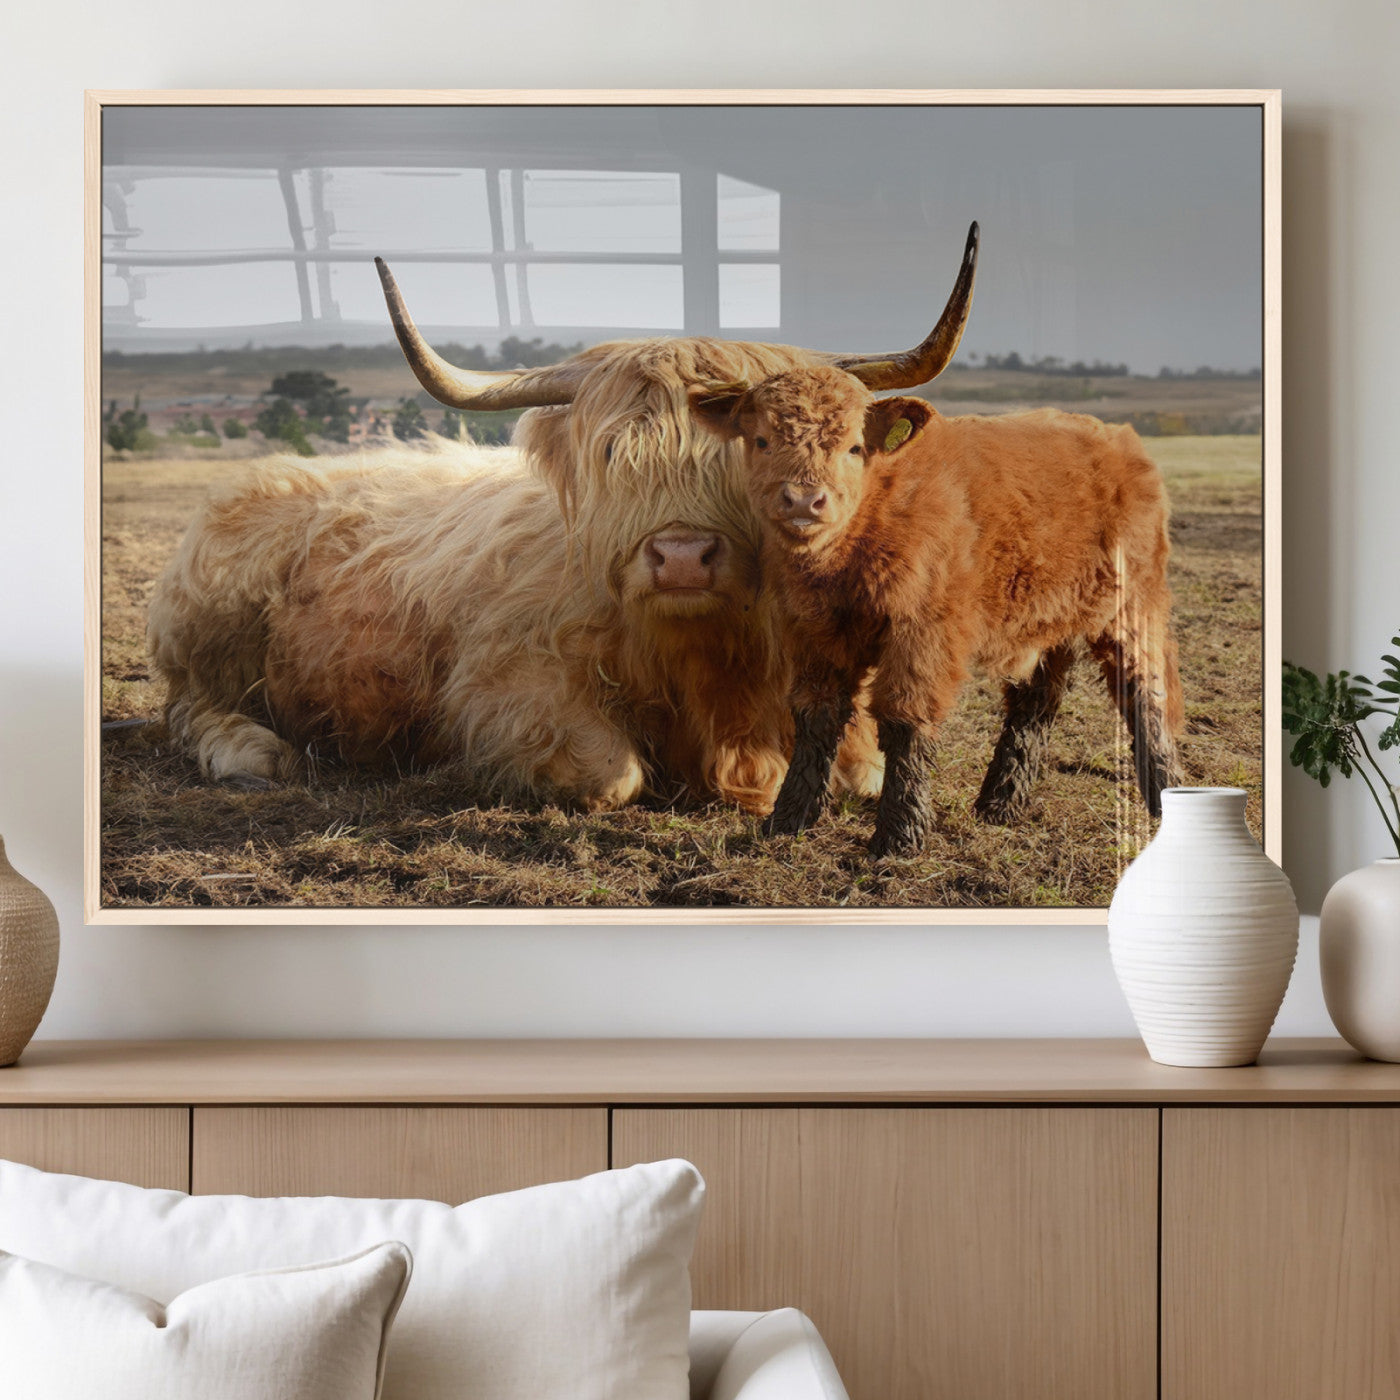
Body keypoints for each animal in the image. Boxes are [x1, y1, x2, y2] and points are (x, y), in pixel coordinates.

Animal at [147, 227, 981, 815]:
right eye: (613, 451)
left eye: (754, 447)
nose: (682, 557)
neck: (709, 662)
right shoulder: (502, 687)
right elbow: (610, 774)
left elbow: (863, 769)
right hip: (212, 629)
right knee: (190, 708)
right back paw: (253, 755)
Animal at [689, 363, 1184, 855]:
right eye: (761, 440)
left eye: (853, 446)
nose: (804, 501)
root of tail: (1119, 438)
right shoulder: (814, 631)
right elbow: (816, 717)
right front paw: (788, 821)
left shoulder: (922, 632)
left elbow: (904, 721)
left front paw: (899, 835)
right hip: (1046, 620)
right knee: (1036, 704)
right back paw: (1000, 804)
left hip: (1133, 607)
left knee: (1145, 692)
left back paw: (1165, 792)